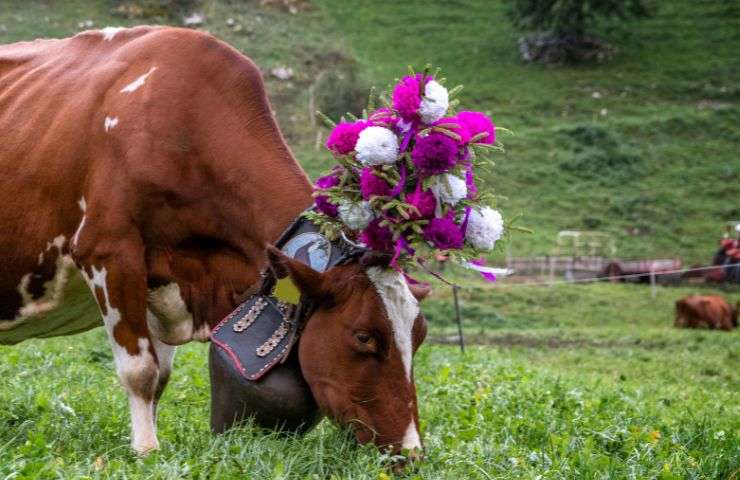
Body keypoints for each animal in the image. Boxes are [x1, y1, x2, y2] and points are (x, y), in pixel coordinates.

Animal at [0, 26, 429, 459]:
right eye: (364, 335)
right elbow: (140, 371)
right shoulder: (106, 250)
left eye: (419, 336)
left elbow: (161, 376)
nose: (409, 452)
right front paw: (146, 451)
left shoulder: (164, 280)